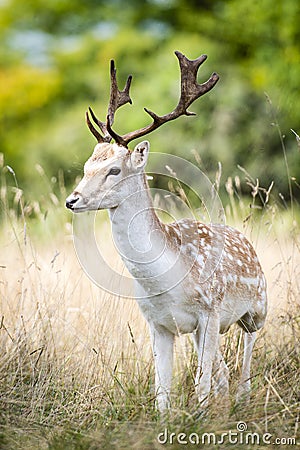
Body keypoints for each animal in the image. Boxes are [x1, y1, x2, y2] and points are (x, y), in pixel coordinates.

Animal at [65, 51, 268, 414]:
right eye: (87, 166)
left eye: (114, 169)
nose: (71, 200)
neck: (167, 280)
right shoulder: (157, 323)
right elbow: (162, 392)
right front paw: (173, 418)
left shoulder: (209, 311)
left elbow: (200, 385)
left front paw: (200, 418)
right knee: (223, 372)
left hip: (257, 307)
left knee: (245, 352)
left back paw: (242, 399)